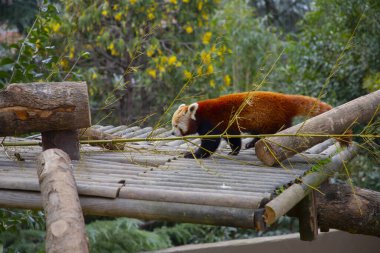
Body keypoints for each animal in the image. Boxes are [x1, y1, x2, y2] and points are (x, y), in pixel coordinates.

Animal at [172, 91, 344, 158]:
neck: (200, 114)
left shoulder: (212, 122)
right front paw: (234, 151)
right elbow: (233, 137)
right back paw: (252, 143)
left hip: (271, 119)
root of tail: (286, 99)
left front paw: (194, 154)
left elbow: (210, 143)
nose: (173, 133)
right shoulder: (228, 125)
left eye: (176, 125)